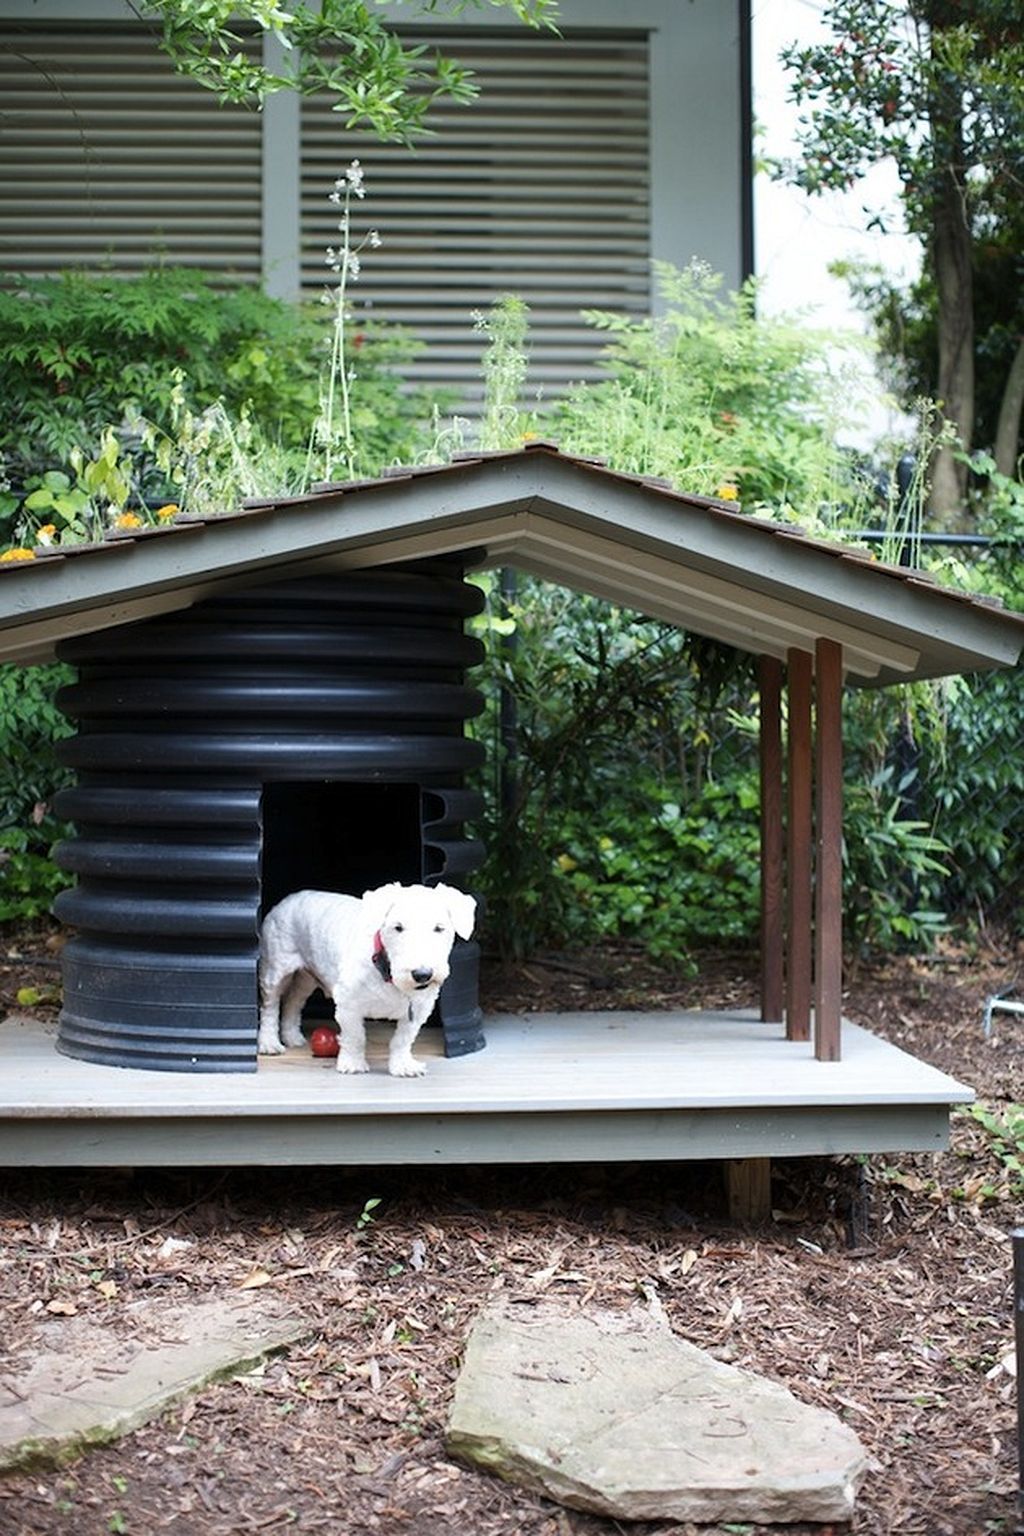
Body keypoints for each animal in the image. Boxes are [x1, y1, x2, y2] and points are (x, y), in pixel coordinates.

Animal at [260, 884, 475, 1075]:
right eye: (398, 927)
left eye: (439, 928)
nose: (422, 974)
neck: (387, 972)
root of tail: (289, 899)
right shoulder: (349, 1004)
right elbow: (355, 1036)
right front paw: (352, 1064)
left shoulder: (419, 1009)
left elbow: (403, 1039)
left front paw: (402, 1066)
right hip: (276, 968)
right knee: (271, 1006)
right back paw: (269, 1043)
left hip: (306, 977)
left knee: (293, 1001)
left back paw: (292, 1037)